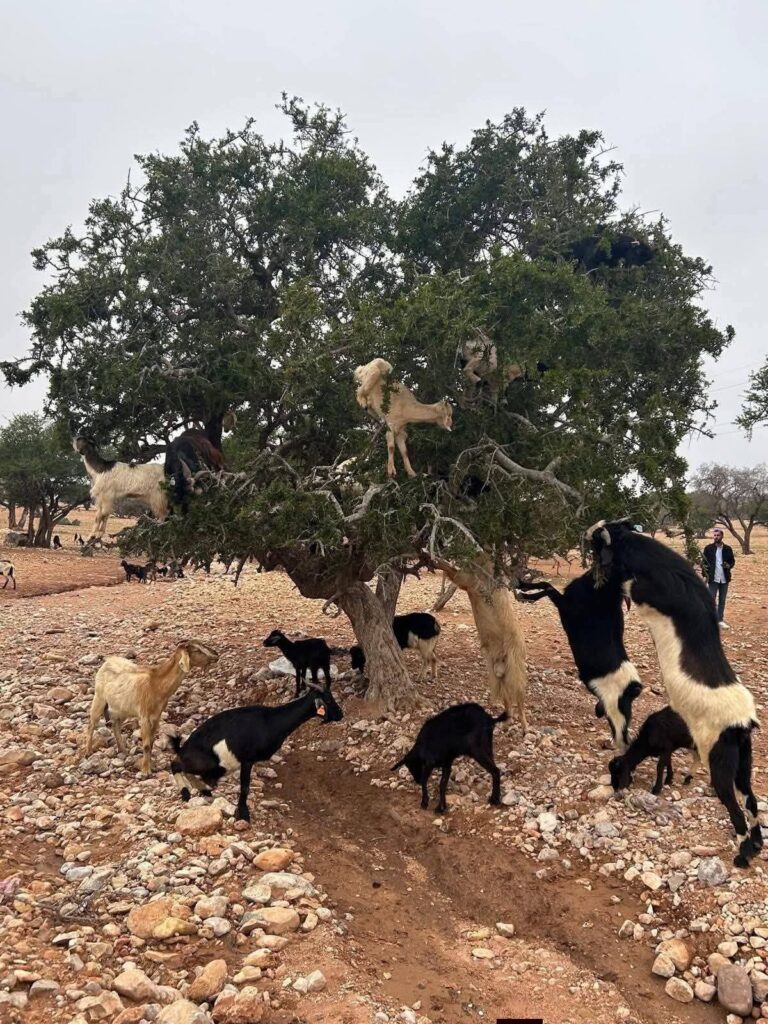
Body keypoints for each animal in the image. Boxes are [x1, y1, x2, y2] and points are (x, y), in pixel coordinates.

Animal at [85, 640, 218, 774]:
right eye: (197, 650)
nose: (216, 654)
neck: (156, 684)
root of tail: (108, 661)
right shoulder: (144, 716)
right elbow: (146, 745)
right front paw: (145, 770)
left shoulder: (156, 716)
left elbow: (152, 741)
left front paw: (152, 765)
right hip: (99, 698)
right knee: (91, 724)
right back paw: (88, 751)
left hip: (121, 708)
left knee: (116, 725)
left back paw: (123, 750)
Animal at [170, 684, 343, 821]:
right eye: (328, 700)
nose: (341, 714)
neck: (271, 721)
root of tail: (183, 748)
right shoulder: (247, 760)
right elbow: (245, 787)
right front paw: (243, 815)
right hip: (206, 763)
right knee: (175, 765)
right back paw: (186, 793)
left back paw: (203, 789)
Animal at [436, 561, 528, 731]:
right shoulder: (466, 583)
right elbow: (450, 570)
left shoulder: (468, 580)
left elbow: (449, 569)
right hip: (497, 675)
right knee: (507, 698)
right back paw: (506, 724)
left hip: (514, 669)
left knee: (519, 697)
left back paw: (525, 727)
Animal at [516, 573, 642, 751]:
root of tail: (634, 686)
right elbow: (546, 584)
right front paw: (522, 585)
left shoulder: (567, 607)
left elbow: (549, 589)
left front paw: (524, 596)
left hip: (615, 708)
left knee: (621, 735)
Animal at [588, 519, 763, 867]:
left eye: (602, 538)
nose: (591, 530)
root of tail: (742, 722)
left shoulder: (641, 590)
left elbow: (629, 587)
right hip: (743, 762)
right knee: (751, 802)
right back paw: (756, 847)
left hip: (718, 761)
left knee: (735, 808)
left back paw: (741, 855)